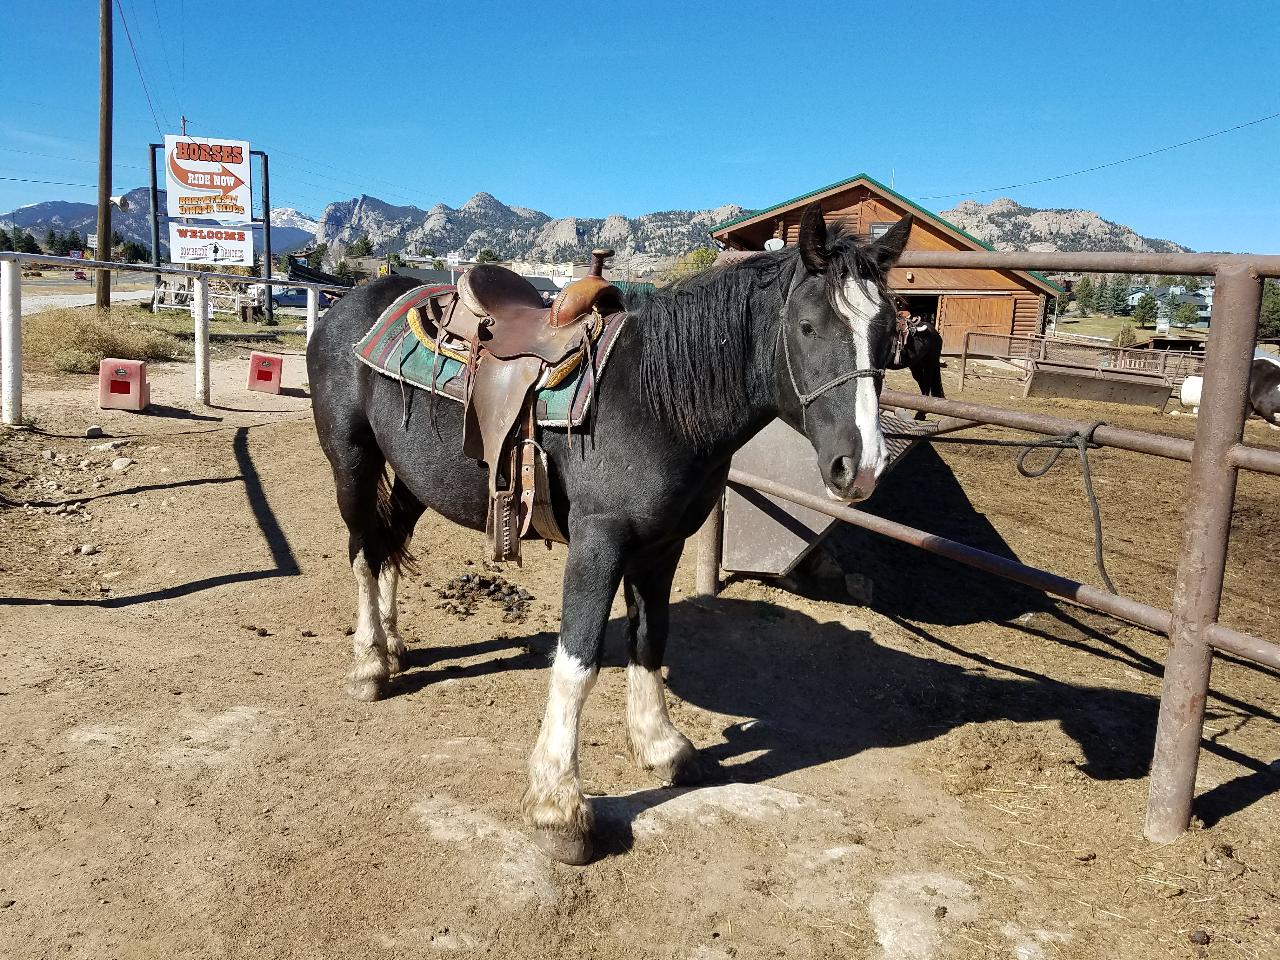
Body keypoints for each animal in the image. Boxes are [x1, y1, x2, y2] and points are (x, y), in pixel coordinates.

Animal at [307, 204, 911, 865]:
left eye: (890, 333)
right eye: (807, 326)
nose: (862, 467)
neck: (657, 400)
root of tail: (351, 304)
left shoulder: (662, 545)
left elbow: (650, 639)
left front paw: (661, 745)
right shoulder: (601, 542)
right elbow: (578, 662)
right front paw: (558, 808)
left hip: (417, 473)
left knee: (389, 544)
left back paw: (393, 646)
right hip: (352, 460)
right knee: (364, 550)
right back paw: (370, 664)